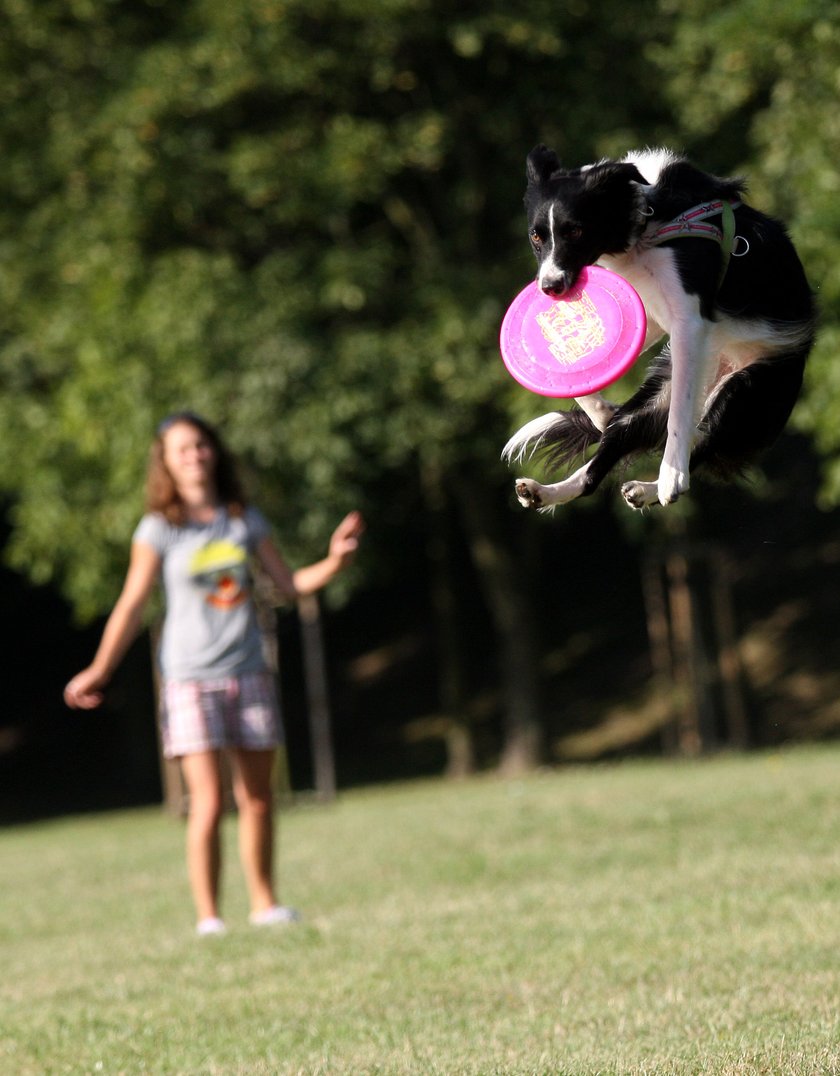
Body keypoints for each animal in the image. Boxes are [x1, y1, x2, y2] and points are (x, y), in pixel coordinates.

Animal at [501, 145, 817, 510]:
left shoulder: (688, 322)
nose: (549, 288)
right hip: (651, 402)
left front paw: (671, 477)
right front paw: (599, 410)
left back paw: (657, 486)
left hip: (742, 393)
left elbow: (680, 412)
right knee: (597, 469)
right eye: (536, 236)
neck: (645, 217)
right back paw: (544, 491)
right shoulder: (648, 313)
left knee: (700, 441)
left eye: (576, 231)